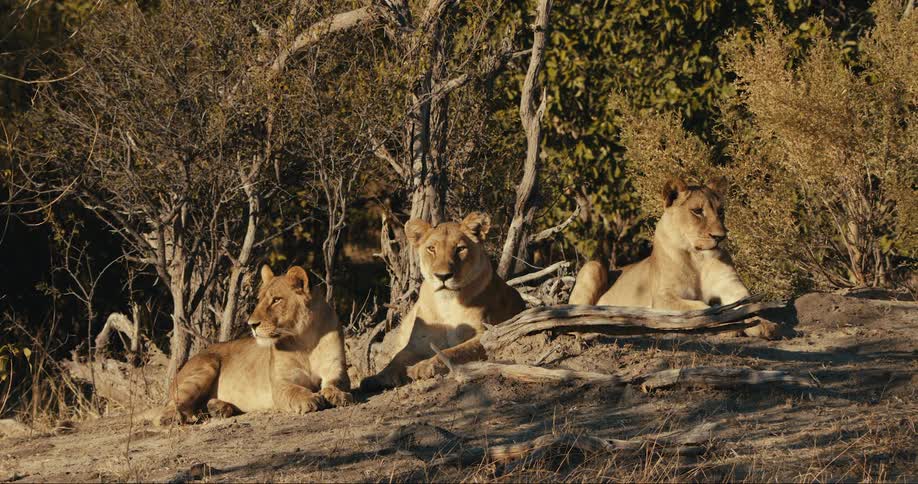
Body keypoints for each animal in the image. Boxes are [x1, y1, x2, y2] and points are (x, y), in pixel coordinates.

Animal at [155, 265, 352, 425]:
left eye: (276, 300)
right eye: (259, 299)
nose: (252, 324)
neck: (306, 340)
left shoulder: (336, 369)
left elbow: (337, 382)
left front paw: (337, 395)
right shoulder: (281, 383)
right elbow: (295, 390)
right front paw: (309, 399)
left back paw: (217, 408)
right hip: (206, 366)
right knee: (166, 410)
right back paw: (176, 418)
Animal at [360, 212, 526, 390]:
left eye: (460, 249)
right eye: (431, 248)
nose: (443, 276)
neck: (446, 302)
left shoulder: (485, 334)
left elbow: (453, 352)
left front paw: (423, 367)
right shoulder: (416, 343)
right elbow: (396, 359)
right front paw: (377, 378)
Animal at [569, 177, 776, 337]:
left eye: (721, 212)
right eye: (697, 211)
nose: (720, 237)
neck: (699, 258)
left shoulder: (732, 288)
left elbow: (749, 305)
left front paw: (765, 324)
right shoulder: (663, 298)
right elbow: (704, 310)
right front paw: (728, 328)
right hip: (593, 266)